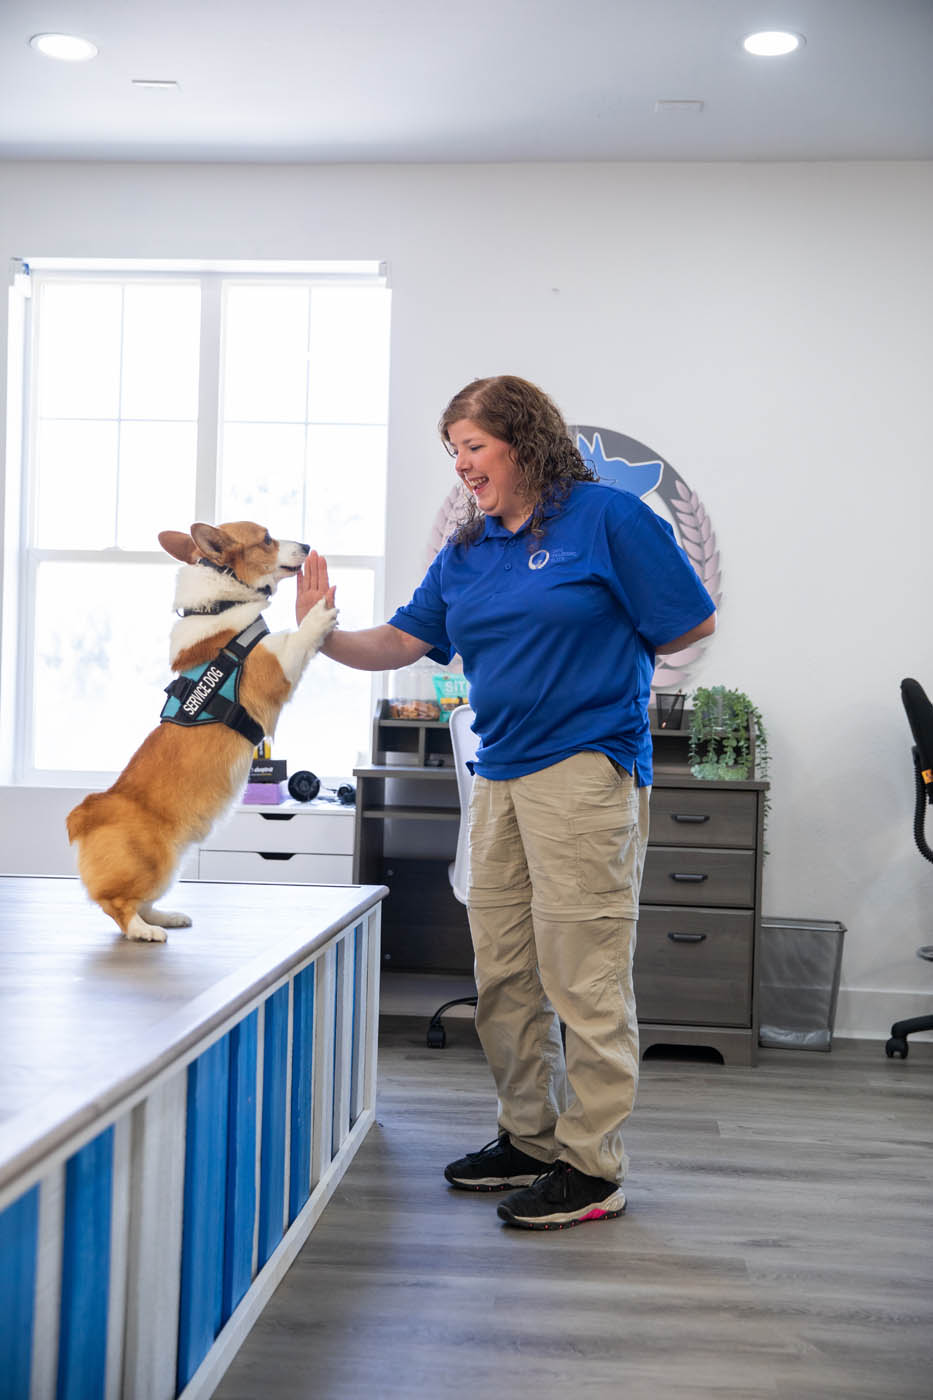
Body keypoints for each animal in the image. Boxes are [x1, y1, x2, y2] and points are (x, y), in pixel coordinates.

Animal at [65, 520, 336, 946]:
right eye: (266, 539)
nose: (307, 546)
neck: (223, 603)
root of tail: (87, 814)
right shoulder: (276, 665)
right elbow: (301, 635)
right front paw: (320, 611)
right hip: (154, 862)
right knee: (118, 904)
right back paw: (146, 931)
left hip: (168, 867)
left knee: (144, 900)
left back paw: (167, 917)